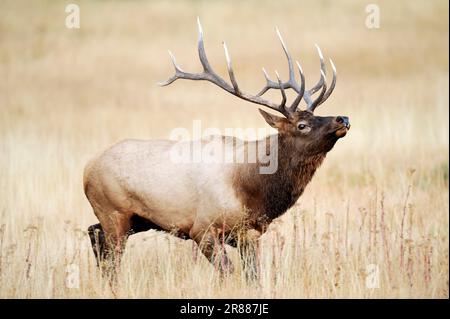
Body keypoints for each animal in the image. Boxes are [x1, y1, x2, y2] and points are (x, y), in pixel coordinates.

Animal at [85, 18, 352, 282]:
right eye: (302, 125)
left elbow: (253, 277)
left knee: (94, 233)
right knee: (111, 255)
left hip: (135, 220)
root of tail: (87, 169)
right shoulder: (201, 228)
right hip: (113, 212)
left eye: (317, 115)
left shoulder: (250, 233)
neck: (252, 191)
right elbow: (227, 274)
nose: (343, 118)